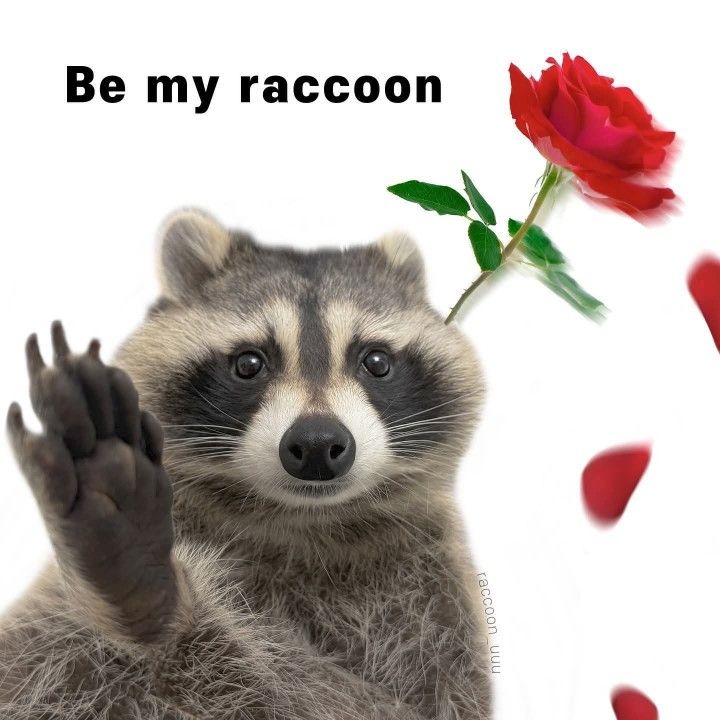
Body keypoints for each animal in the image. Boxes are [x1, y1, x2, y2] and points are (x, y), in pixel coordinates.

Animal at [0, 209, 491, 720]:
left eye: (375, 361)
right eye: (249, 363)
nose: (317, 444)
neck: (300, 521)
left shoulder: (435, 596)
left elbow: (388, 704)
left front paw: (161, 608)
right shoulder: (46, 624)